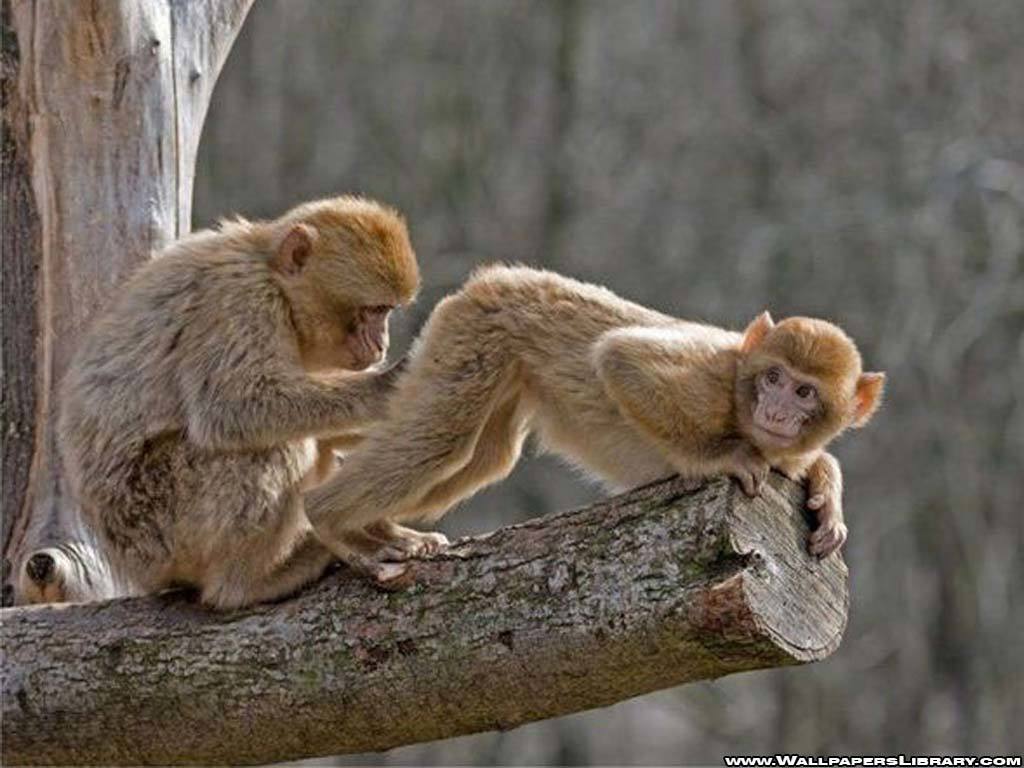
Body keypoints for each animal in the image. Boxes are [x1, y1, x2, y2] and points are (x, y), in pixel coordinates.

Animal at [56, 195, 421, 609]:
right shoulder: (239, 299)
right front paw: (386, 386)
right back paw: (248, 582)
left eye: (386, 312)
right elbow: (232, 409)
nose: (381, 345)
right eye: (373, 310)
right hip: (159, 522)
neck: (272, 276)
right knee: (274, 447)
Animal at [304, 265, 885, 583]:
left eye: (805, 392)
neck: (742, 399)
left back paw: (373, 527)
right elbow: (619, 358)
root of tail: (494, 277)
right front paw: (720, 459)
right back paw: (328, 516)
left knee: (482, 457)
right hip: (474, 336)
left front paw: (827, 494)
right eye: (774, 378)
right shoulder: (710, 376)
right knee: (440, 439)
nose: (777, 412)